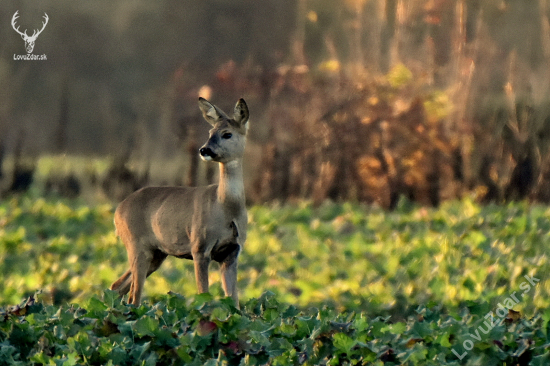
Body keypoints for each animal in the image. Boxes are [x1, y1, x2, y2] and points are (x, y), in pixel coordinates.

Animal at [111, 97, 249, 306]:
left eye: (227, 134)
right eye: (210, 132)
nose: (204, 150)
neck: (226, 208)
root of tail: (118, 210)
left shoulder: (232, 251)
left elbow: (233, 300)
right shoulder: (199, 247)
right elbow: (203, 295)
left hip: (157, 253)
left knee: (119, 286)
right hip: (136, 244)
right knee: (134, 295)